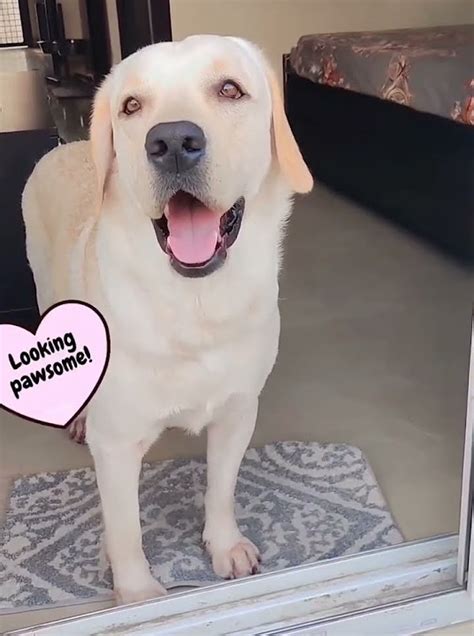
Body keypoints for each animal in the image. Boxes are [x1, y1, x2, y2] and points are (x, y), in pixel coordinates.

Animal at [22, 35, 313, 604]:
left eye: (230, 89)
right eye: (132, 106)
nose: (173, 141)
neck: (194, 305)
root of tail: (63, 146)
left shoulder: (238, 410)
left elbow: (221, 488)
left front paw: (225, 546)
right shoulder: (115, 445)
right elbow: (124, 531)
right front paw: (137, 596)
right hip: (50, 296)